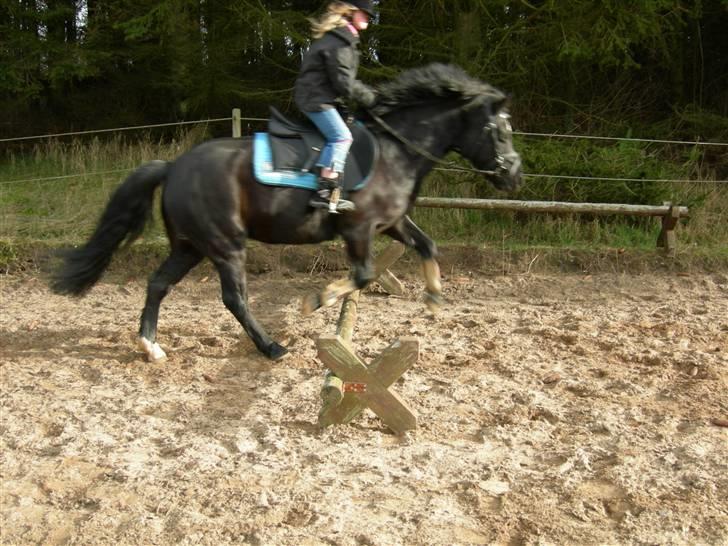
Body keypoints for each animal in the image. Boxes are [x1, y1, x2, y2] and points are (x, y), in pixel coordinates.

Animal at [50, 63, 522, 362]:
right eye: (498, 129)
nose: (514, 173)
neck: (395, 151)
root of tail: (174, 166)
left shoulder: (392, 223)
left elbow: (427, 245)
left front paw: (435, 299)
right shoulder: (359, 229)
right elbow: (363, 275)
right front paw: (315, 300)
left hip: (190, 246)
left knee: (158, 284)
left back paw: (151, 346)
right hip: (225, 245)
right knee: (234, 298)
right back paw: (272, 348)